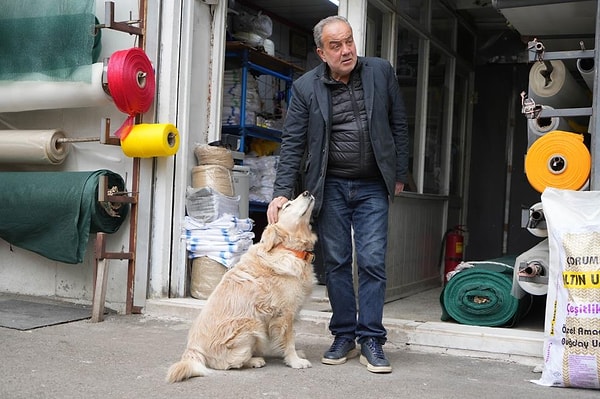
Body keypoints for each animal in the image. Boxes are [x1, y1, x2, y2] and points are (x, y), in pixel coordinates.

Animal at [166, 191, 316, 384]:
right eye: (287, 206)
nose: (306, 192)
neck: (287, 249)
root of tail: (192, 350)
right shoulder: (285, 314)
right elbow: (289, 339)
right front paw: (295, 361)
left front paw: (295, 354)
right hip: (251, 325)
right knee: (227, 364)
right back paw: (254, 360)